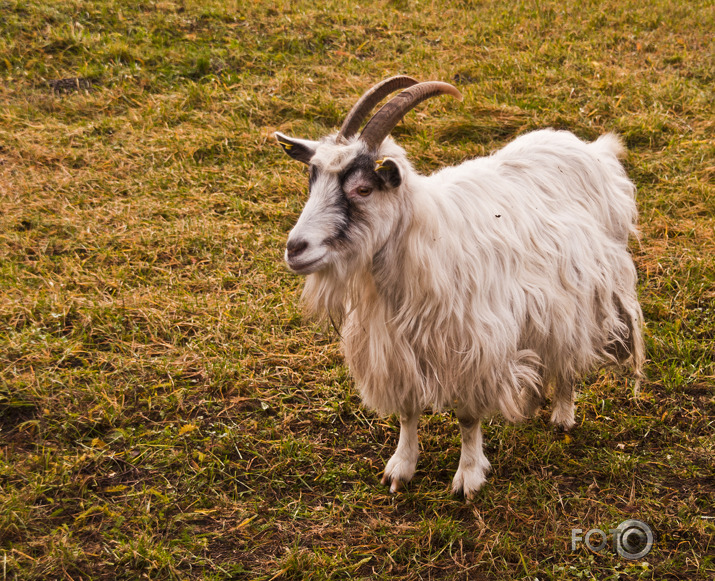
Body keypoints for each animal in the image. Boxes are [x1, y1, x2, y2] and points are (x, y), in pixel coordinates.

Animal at [276, 75, 648, 496]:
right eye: (312, 180)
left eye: (364, 189)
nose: (295, 248)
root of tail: (593, 150)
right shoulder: (397, 349)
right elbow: (407, 412)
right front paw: (401, 467)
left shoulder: (473, 347)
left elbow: (468, 419)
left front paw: (468, 477)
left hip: (582, 288)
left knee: (569, 351)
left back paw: (562, 414)